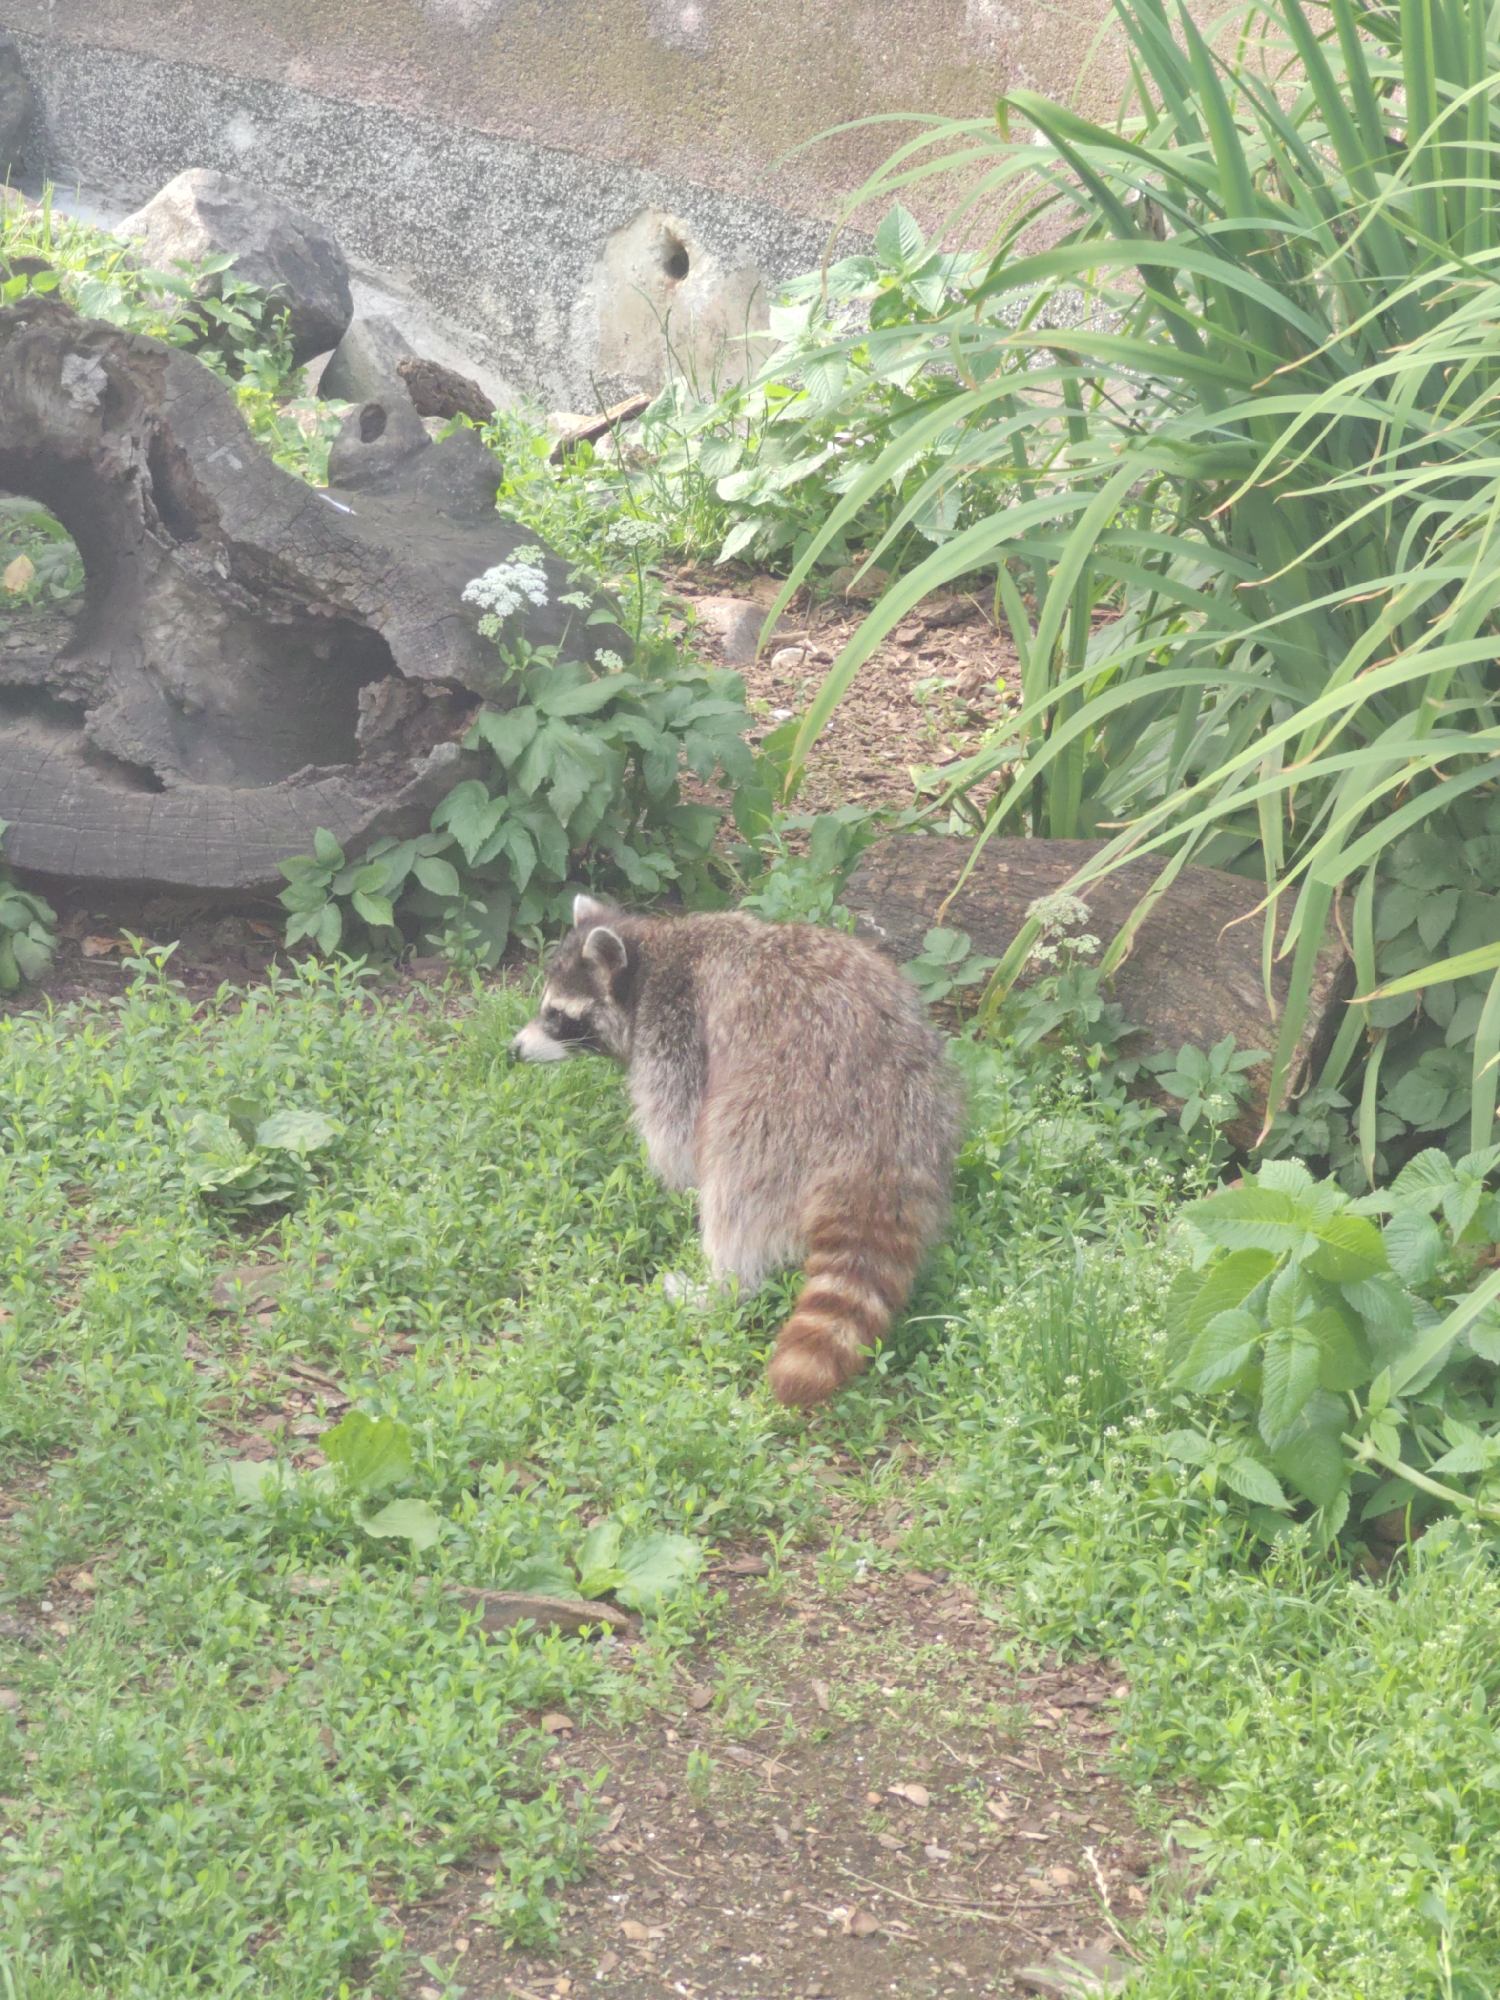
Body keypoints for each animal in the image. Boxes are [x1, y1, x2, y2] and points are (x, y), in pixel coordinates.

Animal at [512, 895, 962, 1407]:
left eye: (556, 1015)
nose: (514, 1049)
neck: (649, 955)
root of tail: (880, 1140)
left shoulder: (675, 1025)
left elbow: (677, 1129)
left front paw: (673, 1183)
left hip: (778, 1111)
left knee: (734, 1187)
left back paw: (723, 1282)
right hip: (930, 1096)